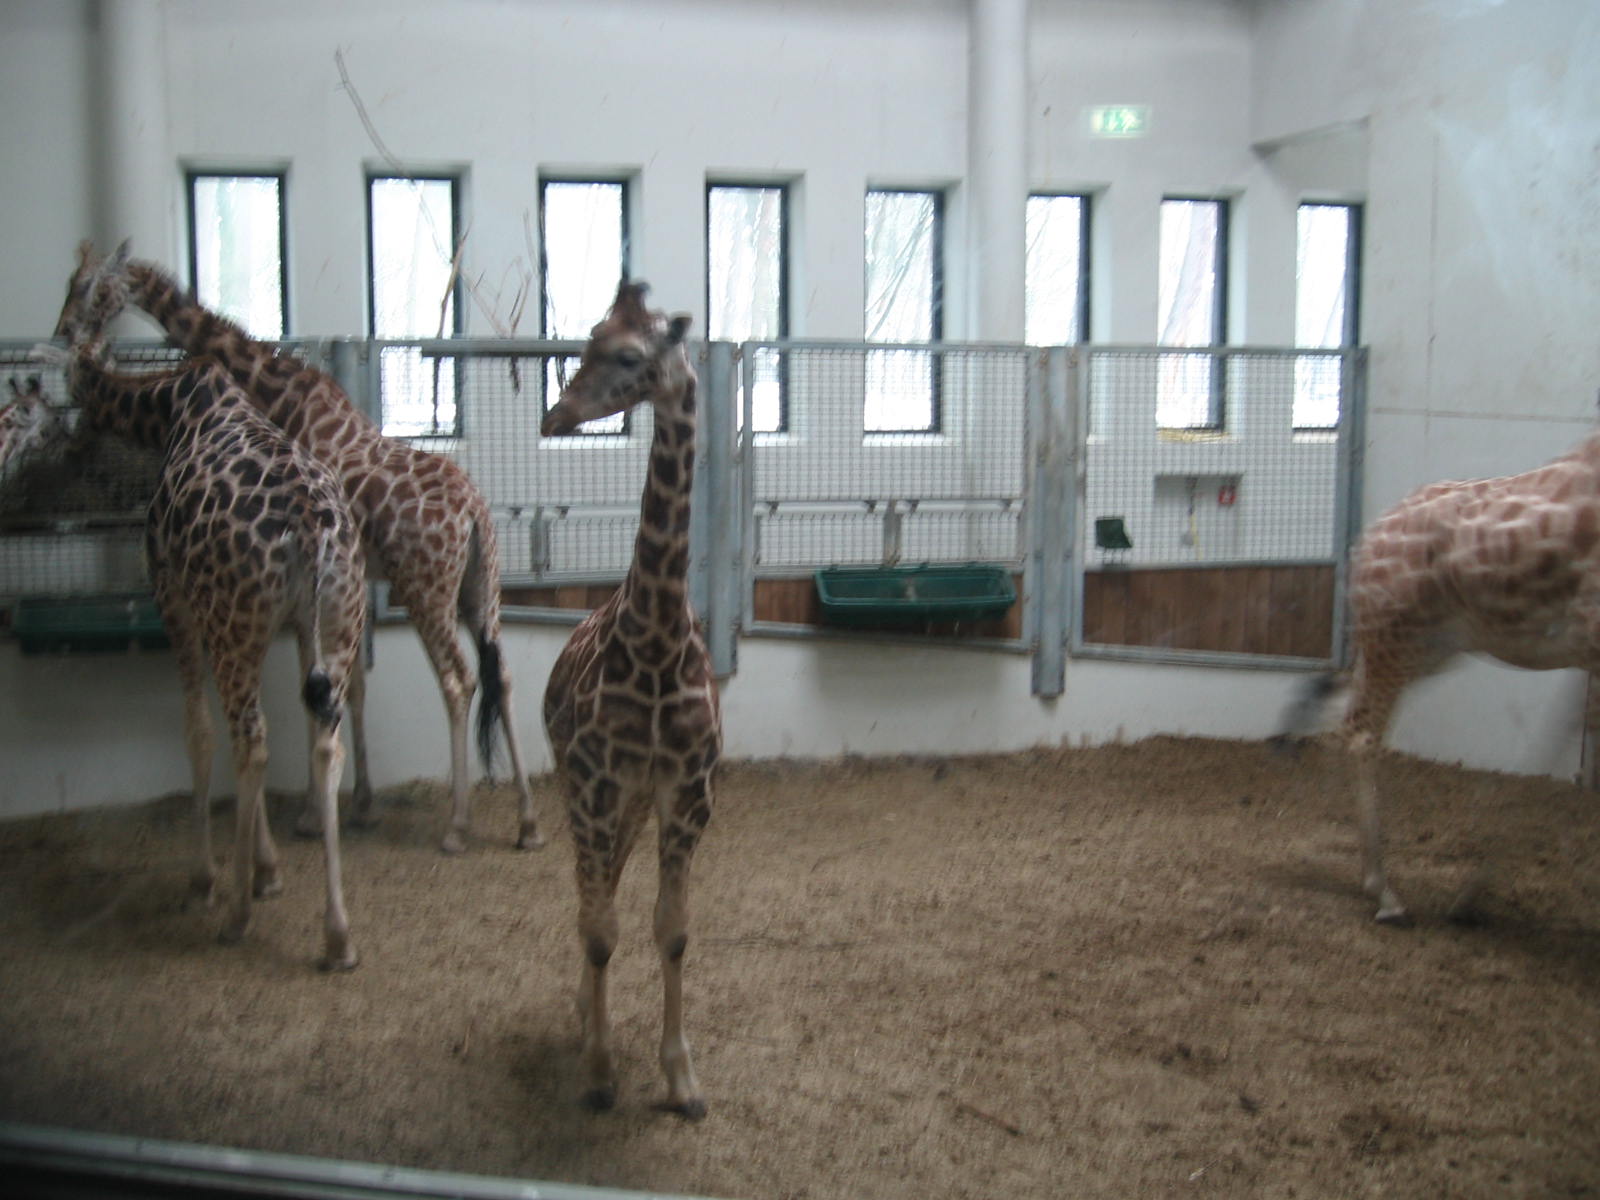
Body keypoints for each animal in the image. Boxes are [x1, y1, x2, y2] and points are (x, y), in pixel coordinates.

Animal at [24, 320, 368, 969]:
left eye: (66, 375)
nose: (74, 434)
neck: (171, 408)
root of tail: (309, 524)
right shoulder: (286, 627)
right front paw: (266, 871)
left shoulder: (177, 601)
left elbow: (200, 732)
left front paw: (216, 879)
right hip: (335, 620)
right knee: (321, 742)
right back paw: (337, 936)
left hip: (235, 622)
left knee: (250, 741)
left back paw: (234, 915)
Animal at [55, 241, 542, 855]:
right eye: (72, 282)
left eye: (92, 287)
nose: (64, 331)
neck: (278, 393)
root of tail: (475, 513)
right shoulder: (349, 589)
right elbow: (353, 688)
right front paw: (359, 805)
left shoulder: (319, 592)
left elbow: (315, 696)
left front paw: (314, 815)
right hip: (481, 587)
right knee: (502, 675)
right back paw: (527, 822)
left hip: (425, 589)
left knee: (459, 681)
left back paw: (457, 825)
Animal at [1283, 431, 1600, 924]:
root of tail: (1364, 545)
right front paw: (1468, 897)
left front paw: (1470, 896)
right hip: (1401, 640)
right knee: (1361, 731)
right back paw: (1384, 893)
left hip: (1426, 647)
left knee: (1340, 707)